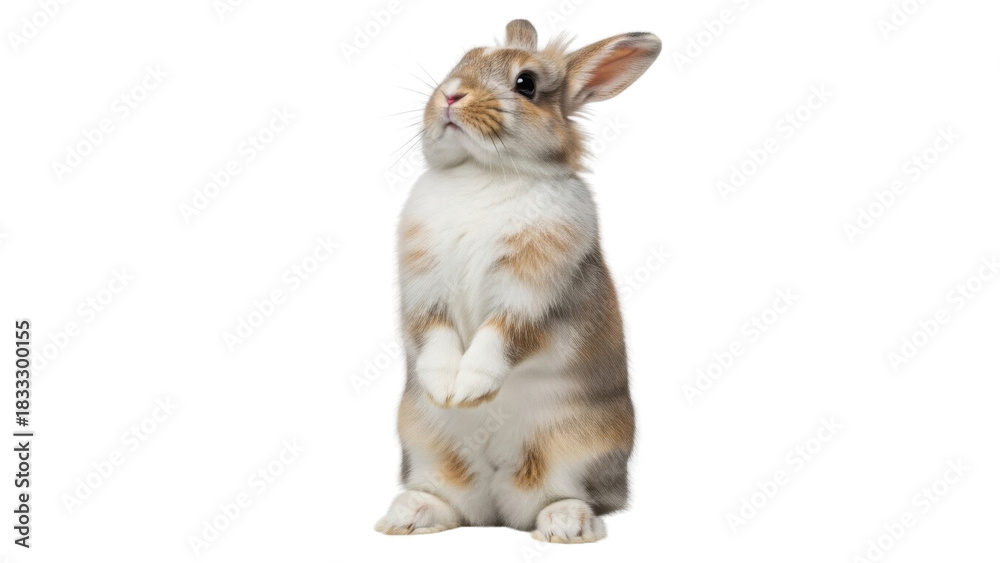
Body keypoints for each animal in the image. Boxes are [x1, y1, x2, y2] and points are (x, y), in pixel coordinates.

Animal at [376, 19, 661, 543]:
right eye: (462, 60)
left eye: (526, 83)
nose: (451, 95)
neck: (482, 171)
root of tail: (497, 505)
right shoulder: (425, 293)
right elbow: (435, 340)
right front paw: (444, 391)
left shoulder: (533, 297)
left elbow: (499, 340)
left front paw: (469, 391)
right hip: (426, 446)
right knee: (455, 503)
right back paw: (408, 515)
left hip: (574, 450)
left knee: (558, 498)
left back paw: (566, 526)